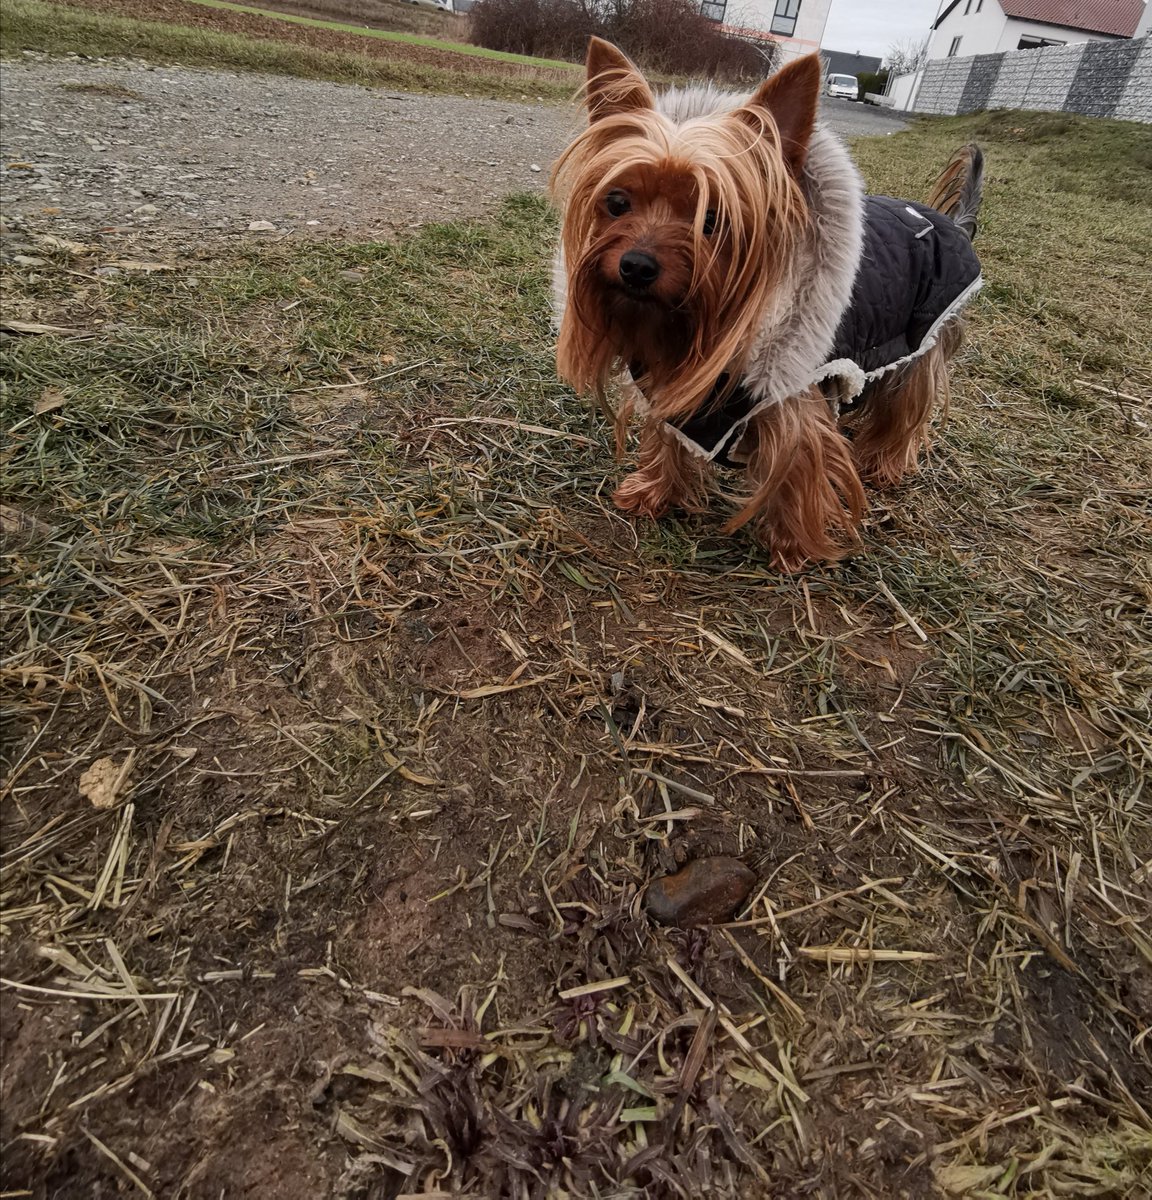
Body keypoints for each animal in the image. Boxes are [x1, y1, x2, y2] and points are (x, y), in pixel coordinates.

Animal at [550, 38, 983, 570]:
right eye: (616, 202)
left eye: (713, 219)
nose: (635, 266)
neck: (699, 327)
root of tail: (951, 222)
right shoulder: (679, 390)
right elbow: (670, 439)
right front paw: (654, 491)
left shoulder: (792, 395)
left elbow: (798, 464)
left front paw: (793, 548)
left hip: (920, 344)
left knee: (906, 405)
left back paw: (885, 463)